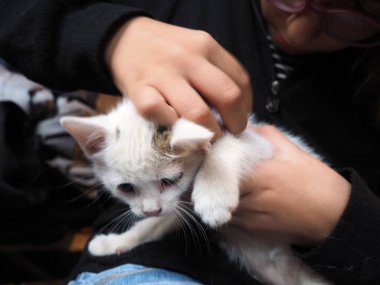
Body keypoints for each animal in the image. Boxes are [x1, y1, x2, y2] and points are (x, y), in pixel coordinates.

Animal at [60, 99, 328, 284]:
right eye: (125, 188)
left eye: (170, 180)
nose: (151, 210)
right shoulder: (177, 206)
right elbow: (153, 226)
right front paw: (115, 243)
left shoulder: (262, 143)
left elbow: (228, 144)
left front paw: (213, 196)